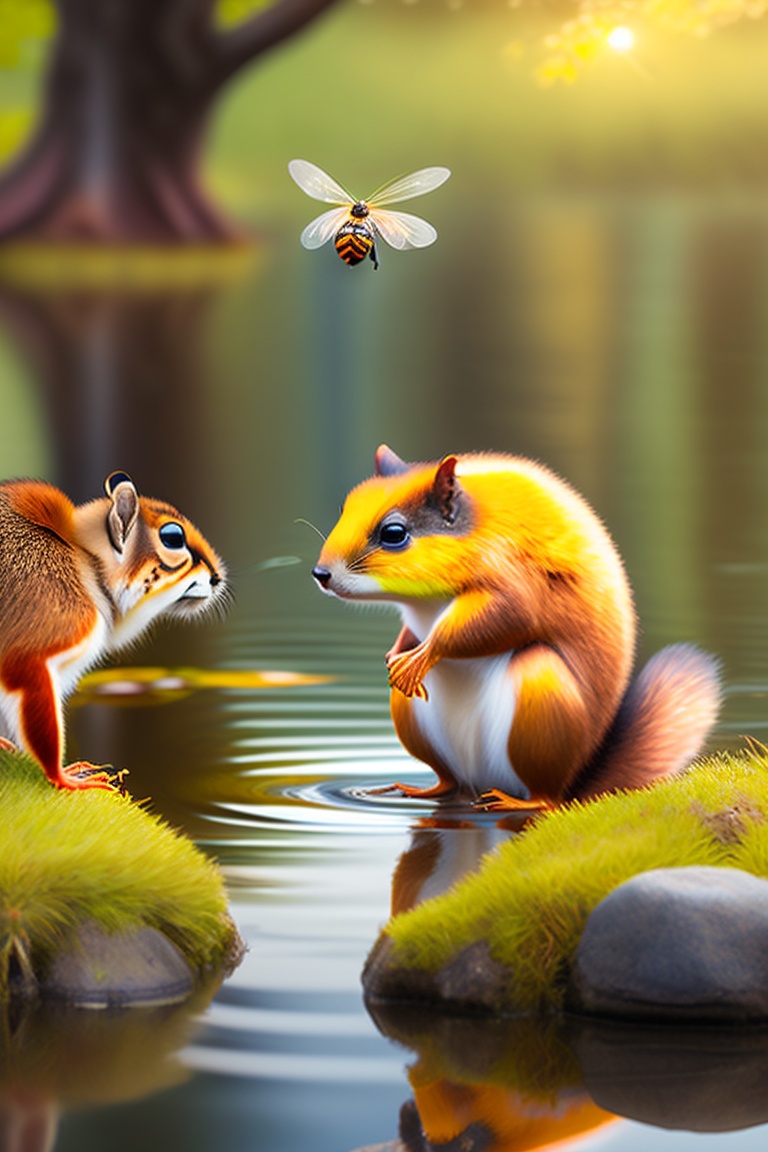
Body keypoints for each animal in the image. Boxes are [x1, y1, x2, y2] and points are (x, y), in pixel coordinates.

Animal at [312, 445, 722, 808]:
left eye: (394, 533)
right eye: (346, 507)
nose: (321, 574)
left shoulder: (511, 571)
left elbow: (507, 616)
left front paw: (421, 655)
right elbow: (411, 634)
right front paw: (396, 653)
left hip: (541, 693)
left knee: (546, 797)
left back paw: (517, 801)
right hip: (414, 718)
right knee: (448, 781)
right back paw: (413, 790)